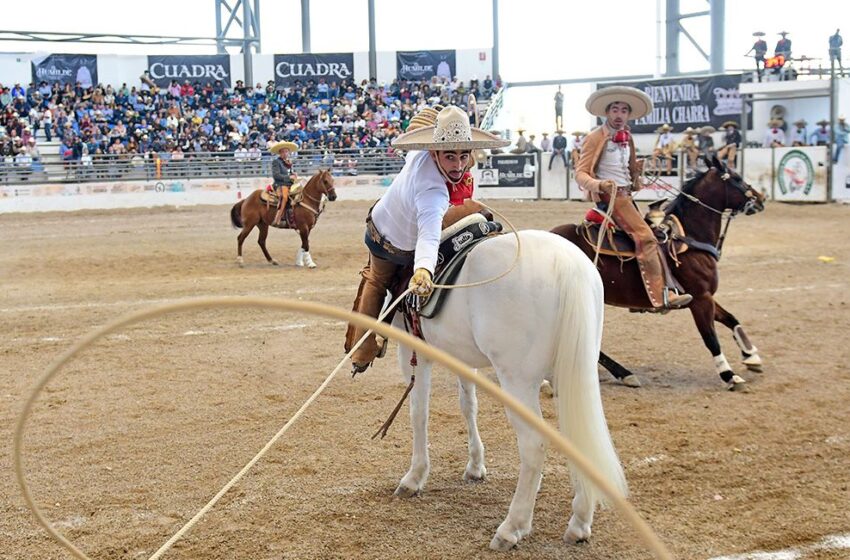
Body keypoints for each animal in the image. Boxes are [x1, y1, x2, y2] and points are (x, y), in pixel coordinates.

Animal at [390, 229, 624, 552]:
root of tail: (568, 265)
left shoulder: (415, 353)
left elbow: (418, 413)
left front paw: (414, 477)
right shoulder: (462, 358)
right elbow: (468, 405)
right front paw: (475, 465)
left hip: (518, 382)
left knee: (534, 446)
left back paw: (512, 527)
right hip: (572, 375)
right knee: (577, 438)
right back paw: (579, 523)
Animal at [552, 153, 764, 390]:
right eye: (736, 178)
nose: (760, 199)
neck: (689, 237)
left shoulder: (706, 297)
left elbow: (731, 319)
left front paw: (751, 355)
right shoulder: (701, 300)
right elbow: (711, 338)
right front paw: (729, 375)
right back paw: (622, 374)